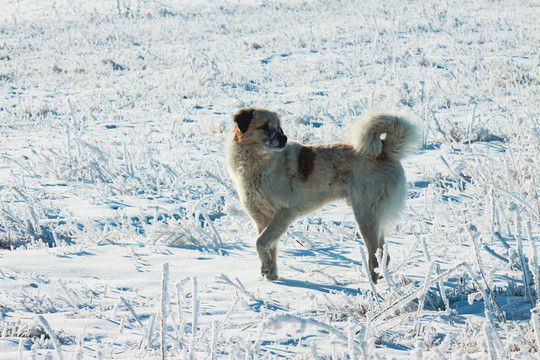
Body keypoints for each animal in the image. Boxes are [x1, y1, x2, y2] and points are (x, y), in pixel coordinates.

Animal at [224, 108, 418, 282]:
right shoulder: (262, 219)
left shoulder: (284, 212)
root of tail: (385, 150)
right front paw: (271, 275)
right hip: (374, 217)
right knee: (384, 253)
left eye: (279, 127)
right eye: (264, 127)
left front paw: (266, 269)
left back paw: (372, 286)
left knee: (374, 255)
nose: (284, 138)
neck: (261, 165)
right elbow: (269, 247)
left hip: (365, 215)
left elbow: (260, 242)